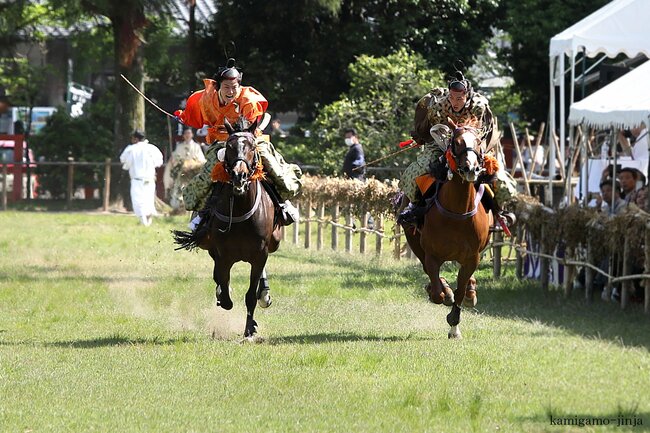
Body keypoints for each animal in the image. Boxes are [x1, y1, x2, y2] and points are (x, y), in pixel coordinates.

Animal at [173, 119, 282, 340]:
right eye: (230, 147)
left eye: (252, 147)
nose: (239, 175)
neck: (240, 207)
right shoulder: (223, 254)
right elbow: (223, 286)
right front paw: (223, 296)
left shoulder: (260, 254)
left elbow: (250, 294)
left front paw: (249, 330)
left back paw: (264, 294)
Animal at [402, 120, 488, 338]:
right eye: (456, 142)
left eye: (478, 141)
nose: (470, 168)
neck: (457, 212)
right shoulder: (432, 255)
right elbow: (437, 293)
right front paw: (444, 292)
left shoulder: (472, 257)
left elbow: (461, 290)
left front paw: (455, 326)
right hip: (414, 240)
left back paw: (470, 292)